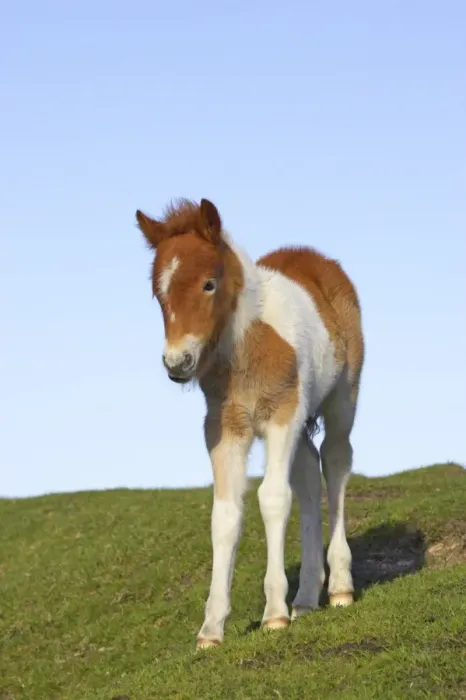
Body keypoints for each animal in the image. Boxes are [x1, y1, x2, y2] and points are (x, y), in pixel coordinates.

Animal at [135, 198, 364, 649]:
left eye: (208, 284)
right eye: (158, 292)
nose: (177, 363)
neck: (244, 349)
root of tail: (316, 258)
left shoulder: (281, 416)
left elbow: (272, 498)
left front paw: (274, 613)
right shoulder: (225, 429)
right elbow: (225, 516)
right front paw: (211, 629)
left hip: (340, 400)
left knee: (335, 463)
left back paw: (339, 588)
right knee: (308, 474)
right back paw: (307, 597)